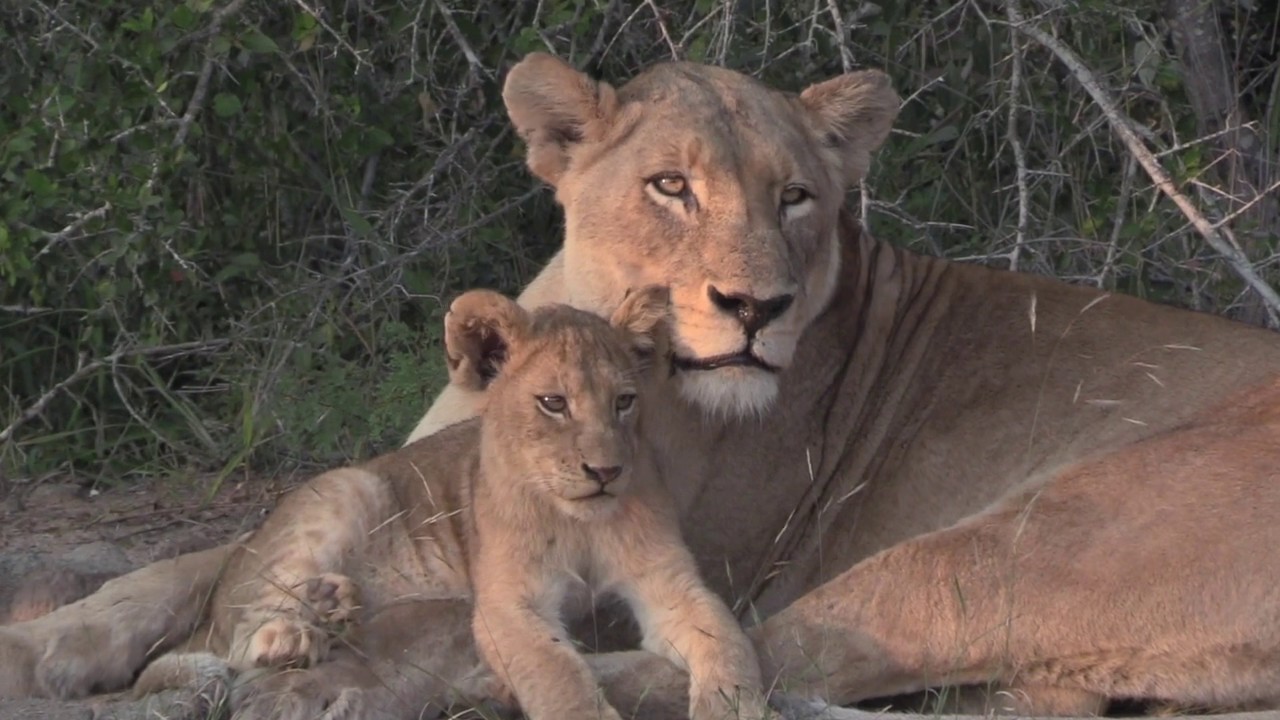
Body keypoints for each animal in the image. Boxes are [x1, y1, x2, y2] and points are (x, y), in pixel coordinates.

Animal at [6, 51, 1280, 720]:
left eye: (796, 198)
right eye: (671, 186)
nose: (755, 309)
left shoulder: (669, 549)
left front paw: (314, 651)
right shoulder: (395, 474)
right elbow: (181, 566)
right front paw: (46, 648)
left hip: (1018, 541)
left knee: (753, 662)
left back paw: (328, 677)